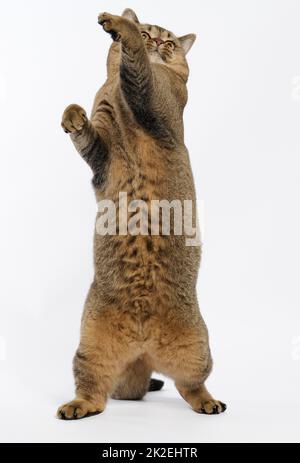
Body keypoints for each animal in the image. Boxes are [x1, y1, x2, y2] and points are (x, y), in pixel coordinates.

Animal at [56, 8, 225, 420]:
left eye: (168, 42)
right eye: (151, 34)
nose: (156, 43)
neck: (115, 89)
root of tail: (143, 347)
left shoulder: (154, 101)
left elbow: (139, 72)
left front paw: (121, 25)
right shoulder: (100, 153)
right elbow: (86, 132)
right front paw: (72, 115)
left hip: (199, 349)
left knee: (189, 385)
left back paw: (208, 401)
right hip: (89, 347)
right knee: (102, 391)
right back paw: (79, 405)